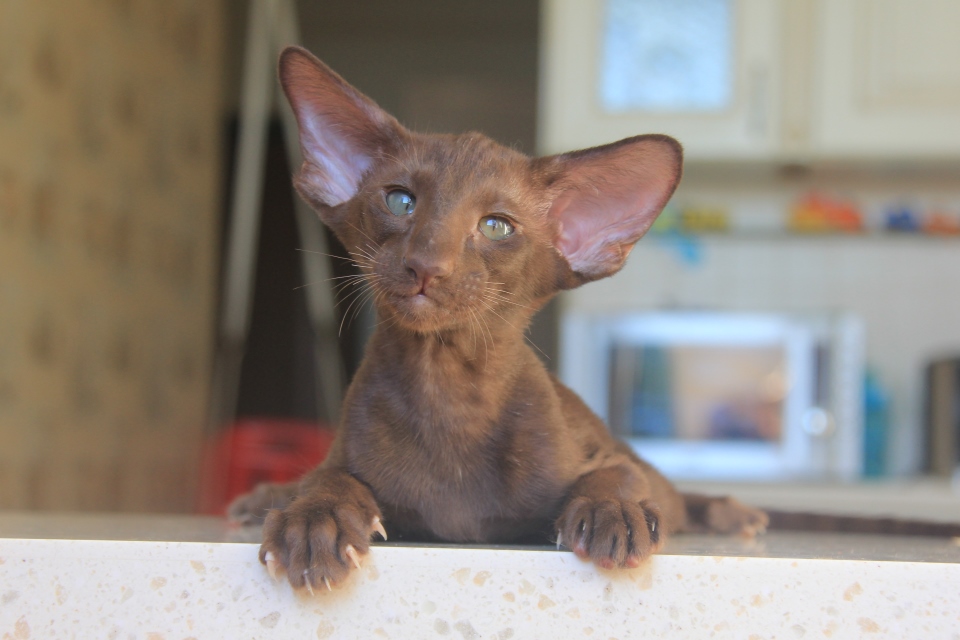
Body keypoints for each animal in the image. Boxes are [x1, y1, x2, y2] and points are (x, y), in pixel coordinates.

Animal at [225, 46, 764, 596]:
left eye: (496, 227)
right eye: (400, 201)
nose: (426, 264)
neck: (446, 389)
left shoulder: (608, 460)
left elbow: (616, 477)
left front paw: (615, 513)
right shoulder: (342, 457)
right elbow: (328, 476)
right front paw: (315, 520)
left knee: (674, 493)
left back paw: (734, 512)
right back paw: (263, 497)